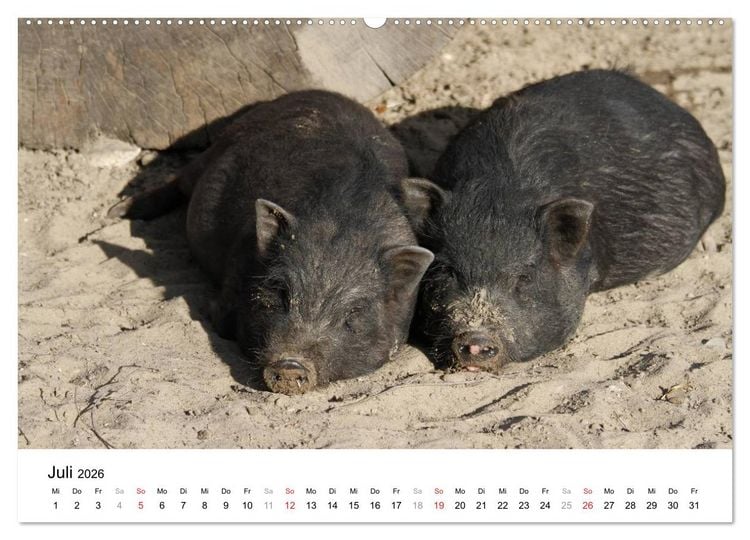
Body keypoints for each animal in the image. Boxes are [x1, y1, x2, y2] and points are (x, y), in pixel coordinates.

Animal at [110, 90, 433, 394]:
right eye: (280, 291)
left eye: (354, 311)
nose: (290, 365)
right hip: (214, 151)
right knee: (179, 180)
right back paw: (118, 211)